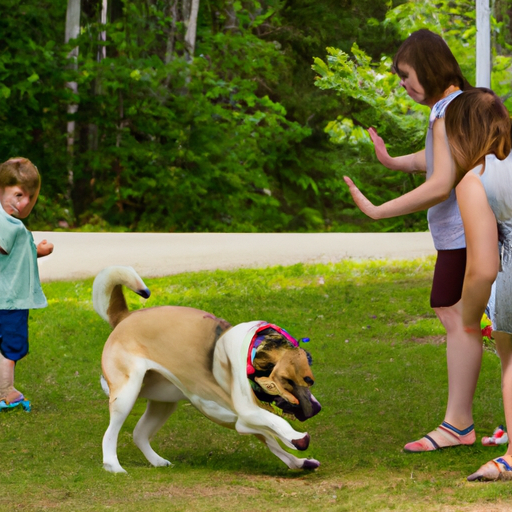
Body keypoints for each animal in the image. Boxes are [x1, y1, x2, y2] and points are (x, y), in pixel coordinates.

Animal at [93, 266, 320, 474]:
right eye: (289, 381)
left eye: (310, 381)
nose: (317, 408)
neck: (251, 353)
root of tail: (124, 316)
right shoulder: (247, 413)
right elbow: (277, 423)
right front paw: (298, 438)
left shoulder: (244, 421)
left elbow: (275, 441)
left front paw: (300, 461)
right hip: (126, 394)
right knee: (110, 434)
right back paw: (113, 466)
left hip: (164, 402)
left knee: (139, 433)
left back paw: (158, 461)